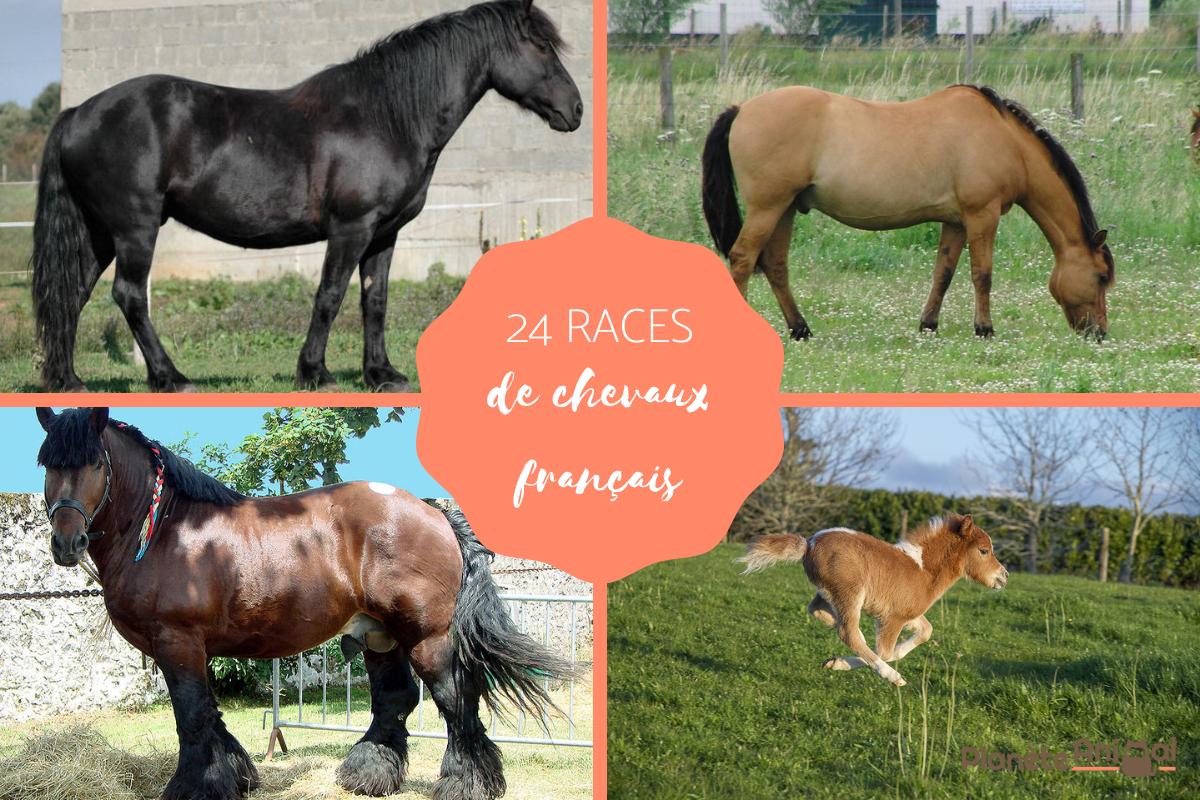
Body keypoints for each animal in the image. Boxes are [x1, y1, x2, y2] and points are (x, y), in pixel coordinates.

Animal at [32, 0, 582, 393]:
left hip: (101, 233)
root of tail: (79, 112)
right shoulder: (352, 228)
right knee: (129, 295)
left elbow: (374, 300)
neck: (385, 117)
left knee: (72, 294)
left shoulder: (384, 234)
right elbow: (330, 296)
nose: (575, 110)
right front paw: (315, 372)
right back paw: (171, 378)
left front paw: (382, 374)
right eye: (541, 47)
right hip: (135, 228)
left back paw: (69, 380)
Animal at [35, 406, 573, 800]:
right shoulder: (196, 649)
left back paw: (465, 785)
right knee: (395, 699)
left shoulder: (177, 642)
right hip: (380, 635)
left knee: (455, 700)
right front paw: (235, 776)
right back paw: (368, 774)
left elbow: (191, 717)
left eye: (95, 463)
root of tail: (434, 513)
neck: (168, 529)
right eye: (47, 464)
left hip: (427, 637)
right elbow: (210, 715)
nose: (66, 542)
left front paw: (193, 787)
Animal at [702, 84, 1114, 341]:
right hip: (767, 208)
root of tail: (742, 109)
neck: (1004, 138)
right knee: (743, 259)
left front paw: (928, 324)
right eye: (1100, 276)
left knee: (775, 265)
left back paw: (800, 329)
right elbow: (982, 274)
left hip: (785, 208)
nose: (1099, 332)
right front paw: (984, 328)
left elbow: (943, 273)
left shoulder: (955, 221)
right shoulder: (982, 215)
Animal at [737, 514, 1008, 687]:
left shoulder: (909, 614)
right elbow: (885, 652)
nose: (1004, 576)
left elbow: (925, 632)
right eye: (984, 551)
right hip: (850, 592)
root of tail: (809, 544)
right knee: (847, 632)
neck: (924, 570)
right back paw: (891, 675)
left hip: (831, 593)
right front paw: (865, 665)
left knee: (818, 611)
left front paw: (836, 662)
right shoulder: (893, 618)